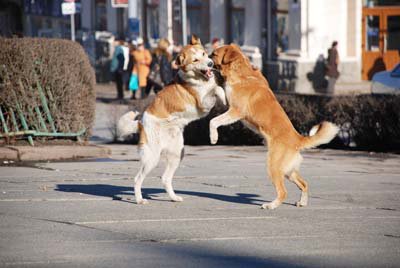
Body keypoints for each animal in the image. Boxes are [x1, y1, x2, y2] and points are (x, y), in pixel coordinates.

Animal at [118, 35, 225, 203]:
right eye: (195, 60)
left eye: (203, 53)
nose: (210, 64)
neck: (198, 79)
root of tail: (141, 123)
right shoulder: (203, 103)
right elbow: (217, 89)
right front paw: (225, 98)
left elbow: (217, 86)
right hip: (151, 158)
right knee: (137, 179)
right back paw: (139, 199)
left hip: (177, 153)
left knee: (165, 178)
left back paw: (174, 197)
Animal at [211, 44, 340, 209]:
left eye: (213, 54)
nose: (206, 59)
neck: (242, 73)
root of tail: (298, 139)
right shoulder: (229, 105)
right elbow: (219, 91)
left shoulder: (236, 111)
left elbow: (214, 121)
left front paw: (213, 137)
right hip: (289, 171)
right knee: (304, 184)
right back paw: (302, 202)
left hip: (274, 167)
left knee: (283, 192)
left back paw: (271, 205)